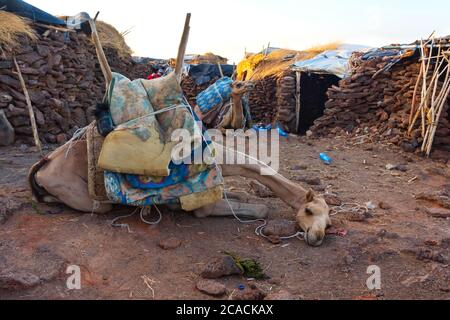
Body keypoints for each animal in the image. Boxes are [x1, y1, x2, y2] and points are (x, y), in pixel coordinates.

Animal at [28, 140, 330, 248]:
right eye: (309, 210)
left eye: (328, 223)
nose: (317, 237)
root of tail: (46, 164)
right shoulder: (203, 207)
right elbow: (261, 208)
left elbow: (239, 198)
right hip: (80, 193)